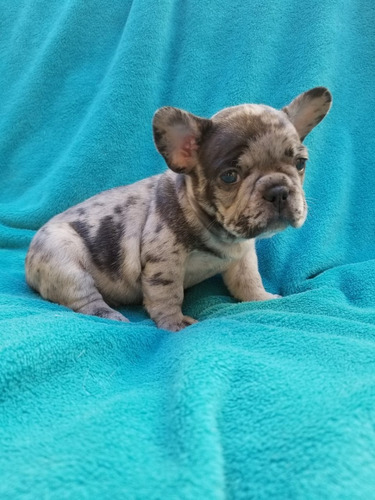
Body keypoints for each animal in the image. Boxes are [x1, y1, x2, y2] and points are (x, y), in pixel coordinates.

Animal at [25, 87, 332, 330]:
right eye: (229, 176)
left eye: (300, 163)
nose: (278, 191)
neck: (219, 232)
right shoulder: (165, 262)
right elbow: (168, 295)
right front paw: (174, 323)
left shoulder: (243, 256)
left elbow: (248, 280)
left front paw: (262, 299)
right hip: (65, 263)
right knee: (84, 300)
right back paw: (109, 314)